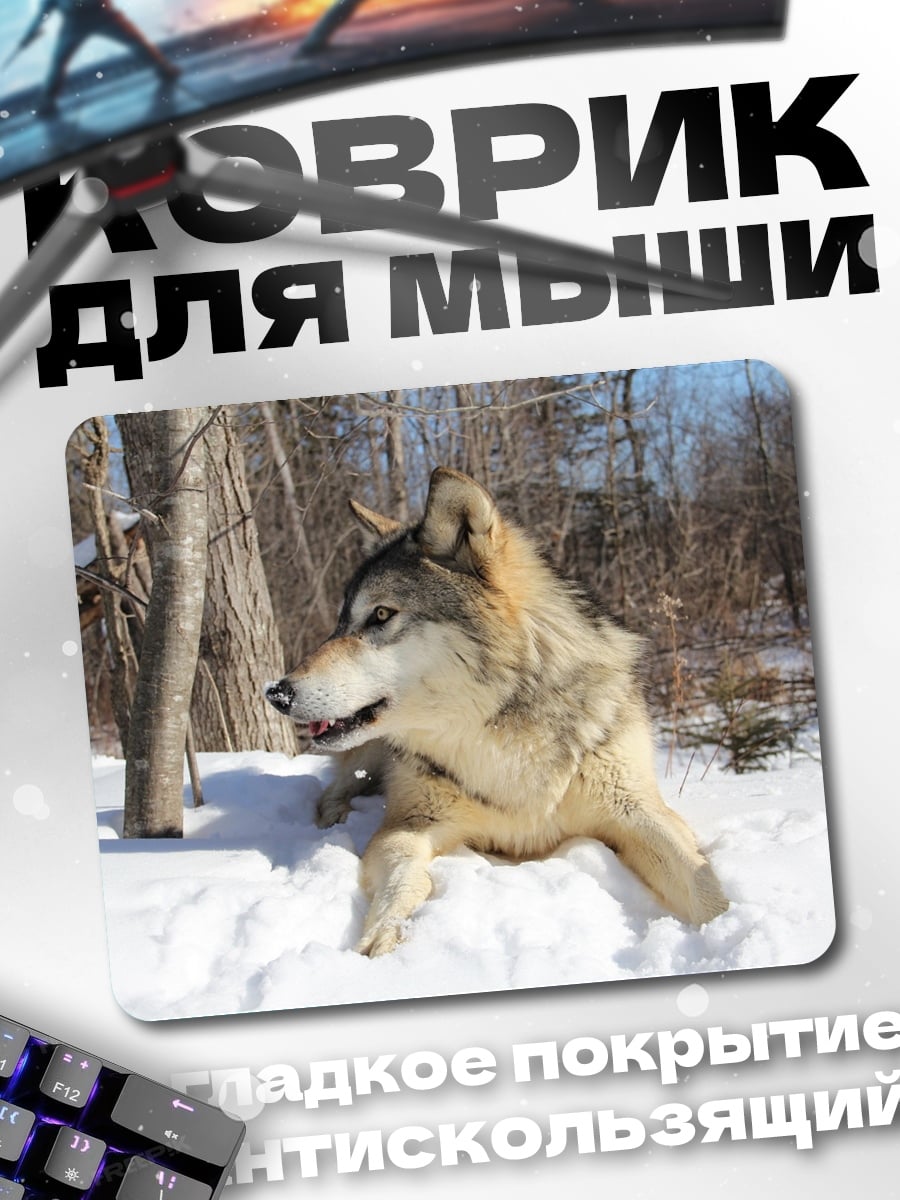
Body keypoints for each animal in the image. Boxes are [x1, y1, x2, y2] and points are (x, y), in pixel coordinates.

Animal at [265, 467, 728, 956]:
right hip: (369, 753)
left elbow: (703, 886)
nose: (276, 693)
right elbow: (405, 878)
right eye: (340, 622)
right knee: (333, 790)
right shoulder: (409, 823)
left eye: (381, 615)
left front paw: (728, 929)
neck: (501, 732)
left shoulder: (638, 810)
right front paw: (385, 935)